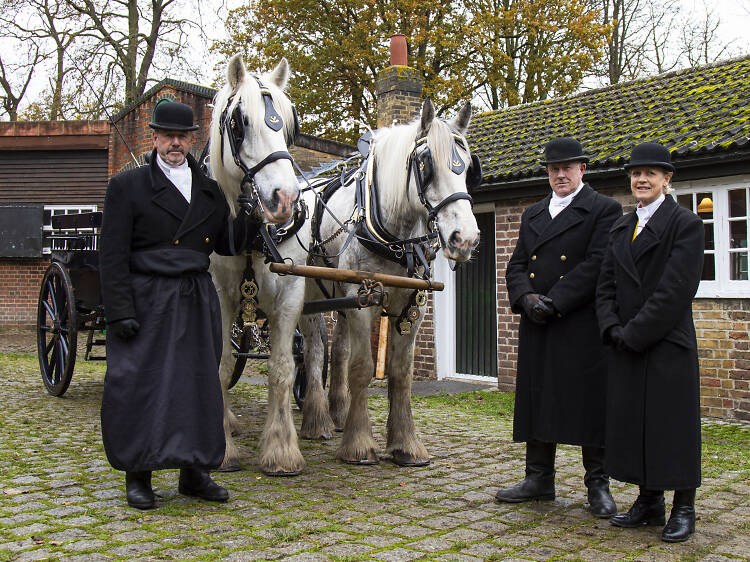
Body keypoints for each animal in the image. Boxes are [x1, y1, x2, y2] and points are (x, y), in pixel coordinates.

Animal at [207, 54, 334, 472]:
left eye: (290, 126)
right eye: (238, 122)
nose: (285, 199)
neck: (250, 234)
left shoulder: (291, 293)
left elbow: (283, 368)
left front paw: (281, 449)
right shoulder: (217, 296)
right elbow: (221, 365)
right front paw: (223, 447)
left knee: (314, 350)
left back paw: (317, 418)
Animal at [312, 97, 482, 464]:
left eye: (467, 168)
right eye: (425, 164)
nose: (465, 239)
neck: (394, 238)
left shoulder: (412, 305)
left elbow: (401, 372)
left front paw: (405, 443)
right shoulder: (364, 301)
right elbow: (362, 367)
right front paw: (359, 444)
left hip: (342, 295)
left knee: (338, 349)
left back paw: (338, 413)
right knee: (315, 349)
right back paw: (315, 421)